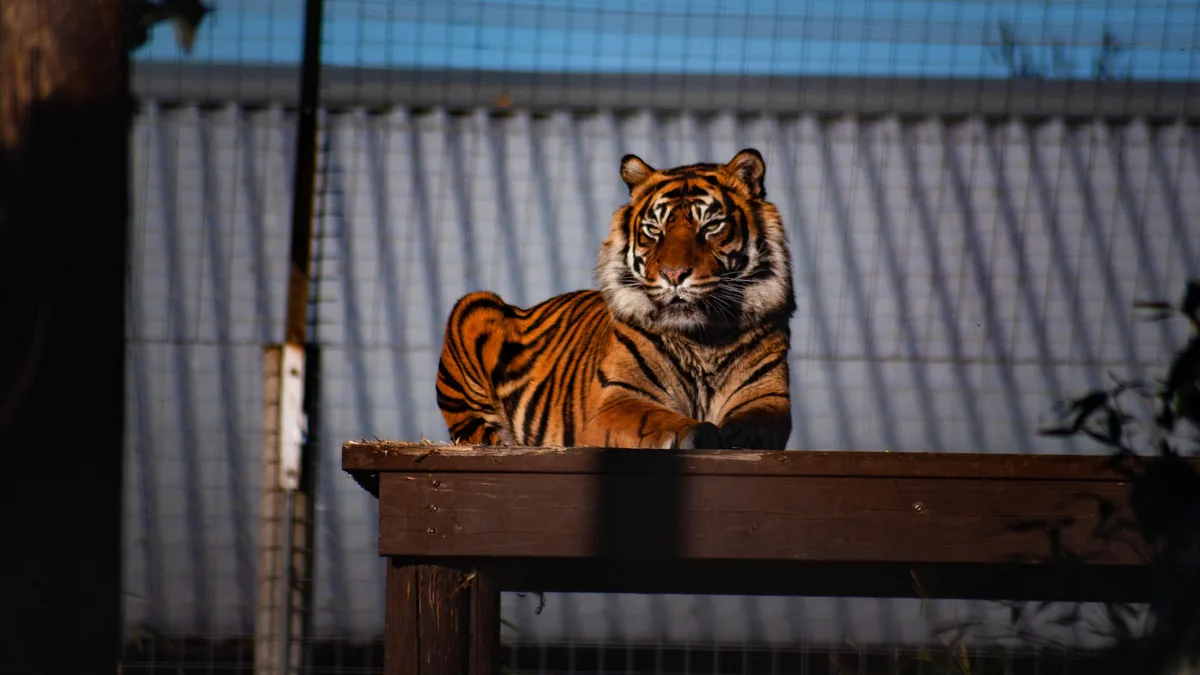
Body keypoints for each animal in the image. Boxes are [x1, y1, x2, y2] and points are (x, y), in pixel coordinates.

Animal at [435, 148, 796, 450]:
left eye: (710, 226)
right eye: (654, 230)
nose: (674, 274)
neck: (703, 340)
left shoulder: (769, 397)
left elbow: (759, 423)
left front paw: (739, 435)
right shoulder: (616, 402)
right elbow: (656, 418)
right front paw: (698, 431)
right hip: (475, 306)